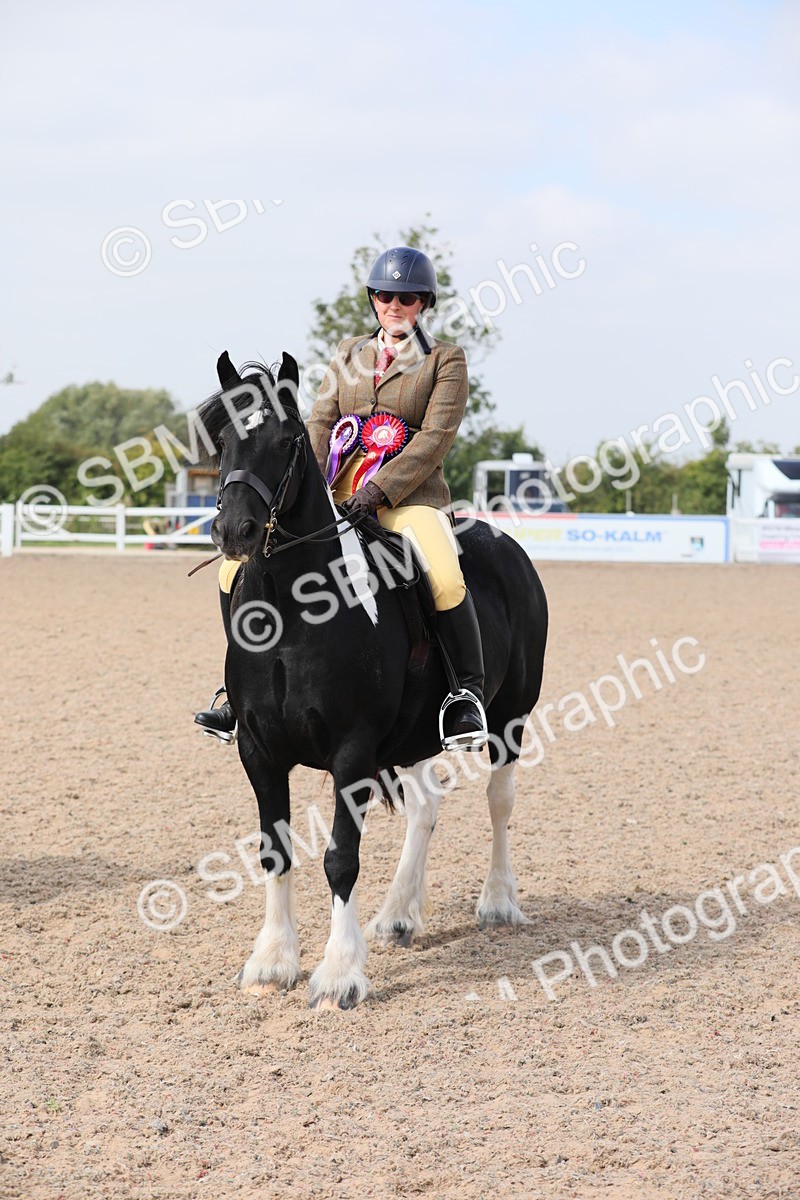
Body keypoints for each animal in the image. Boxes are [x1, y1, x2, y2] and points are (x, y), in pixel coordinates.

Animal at [196, 350, 548, 1010]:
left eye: (286, 440)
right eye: (224, 439)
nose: (235, 533)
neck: (293, 612)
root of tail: (502, 540)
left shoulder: (352, 750)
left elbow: (341, 859)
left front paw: (339, 975)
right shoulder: (258, 750)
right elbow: (275, 849)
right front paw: (272, 962)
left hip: (508, 721)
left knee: (500, 802)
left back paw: (497, 902)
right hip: (414, 735)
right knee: (425, 809)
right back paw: (398, 916)